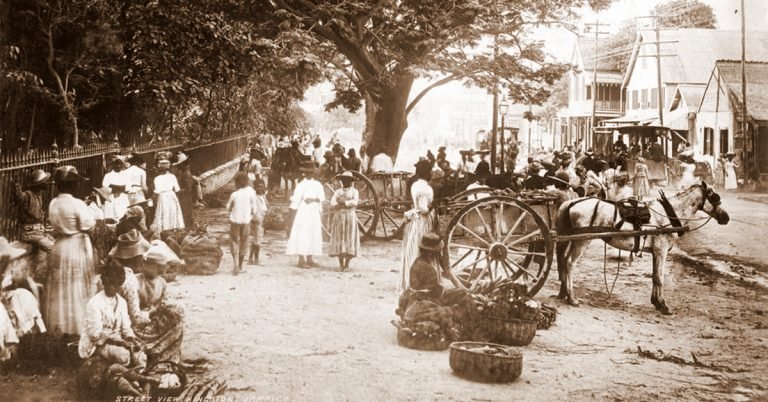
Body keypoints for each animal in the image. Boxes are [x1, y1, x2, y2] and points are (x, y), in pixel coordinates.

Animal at [556, 181, 728, 314]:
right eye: (715, 197)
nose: (726, 217)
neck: (668, 213)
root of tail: (571, 202)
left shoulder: (655, 252)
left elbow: (654, 276)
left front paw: (656, 302)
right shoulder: (661, 250)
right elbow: (659, 277)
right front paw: (663, 305)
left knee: (563, 261)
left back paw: (563, 293)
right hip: (582, 241)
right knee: (570, 263)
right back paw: (572, 297)